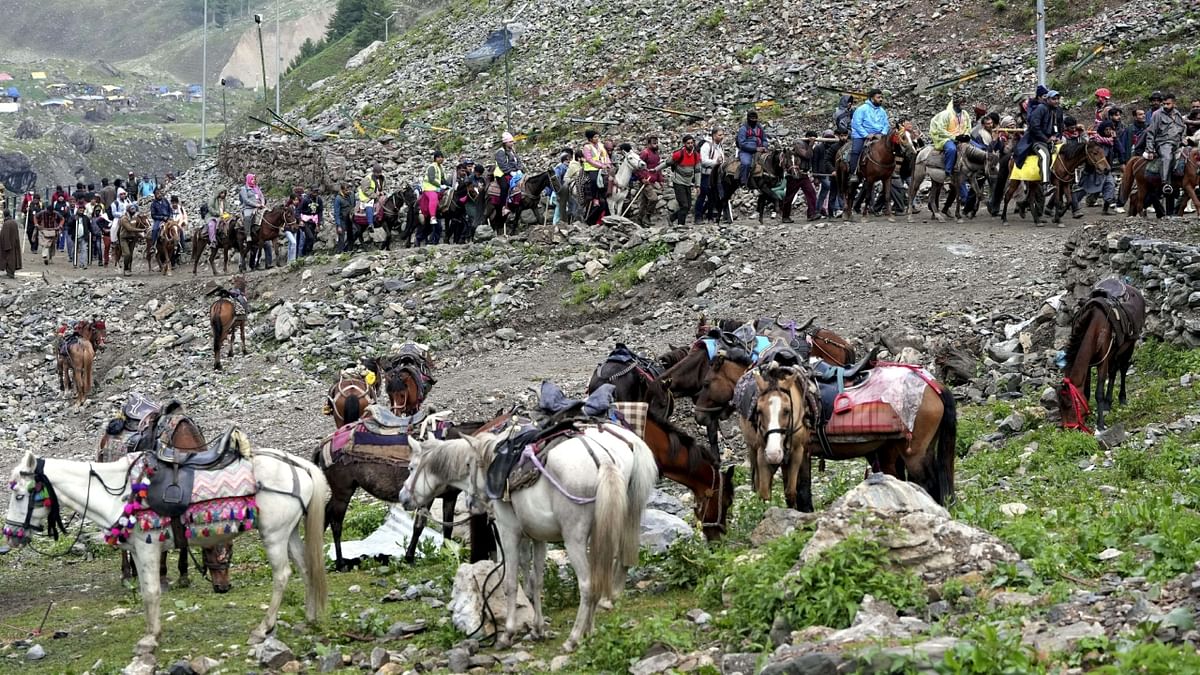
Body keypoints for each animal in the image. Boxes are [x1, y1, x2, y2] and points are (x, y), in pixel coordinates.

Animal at [400, 422, 657, 648]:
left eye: (411, 468)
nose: (403, 498)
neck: (491, 464)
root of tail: (603, 460)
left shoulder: (508, 532)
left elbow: (511, 582)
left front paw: (508, 633)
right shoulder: (535, 537)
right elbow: (535, 580)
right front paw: (537, 628)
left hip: (574, 539)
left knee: (587, 584)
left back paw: (574, 638)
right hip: (600, 534)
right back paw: (588, 632)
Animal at [1060, 277, 1142, 429]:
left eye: (1069, 405)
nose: (1068, 428)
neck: (1095, 328)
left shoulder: (1102, 361)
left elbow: (1098, 393)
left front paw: (1100, 424)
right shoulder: (1089, 364)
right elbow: (1086, 392)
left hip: (1130, 344)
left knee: (1123, 369)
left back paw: (1122, 398)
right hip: (1115, 351)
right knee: (1114, 371)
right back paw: (1108, 404)